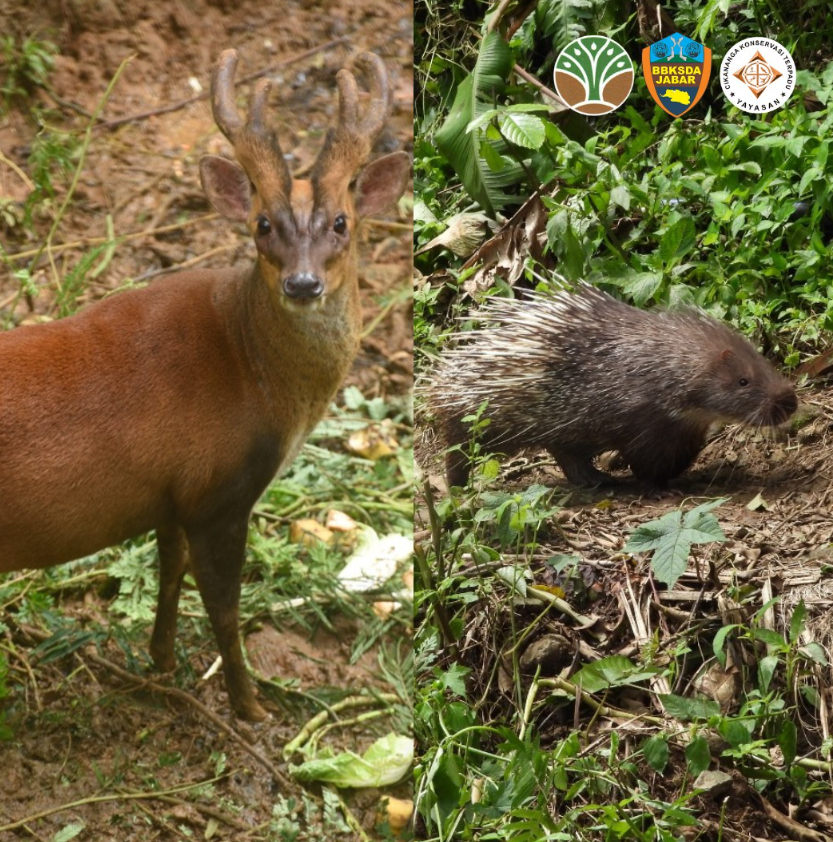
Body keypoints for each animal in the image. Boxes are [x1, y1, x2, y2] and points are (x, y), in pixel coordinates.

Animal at [0, 49, 412, 720]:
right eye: (262, 223)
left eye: (342, 222)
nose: (303, 284)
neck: (252, 369)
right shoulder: (217, 491)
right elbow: (223, 605)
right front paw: (251, 707)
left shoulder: (171, 492)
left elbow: (170, 569)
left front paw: (162, 660)